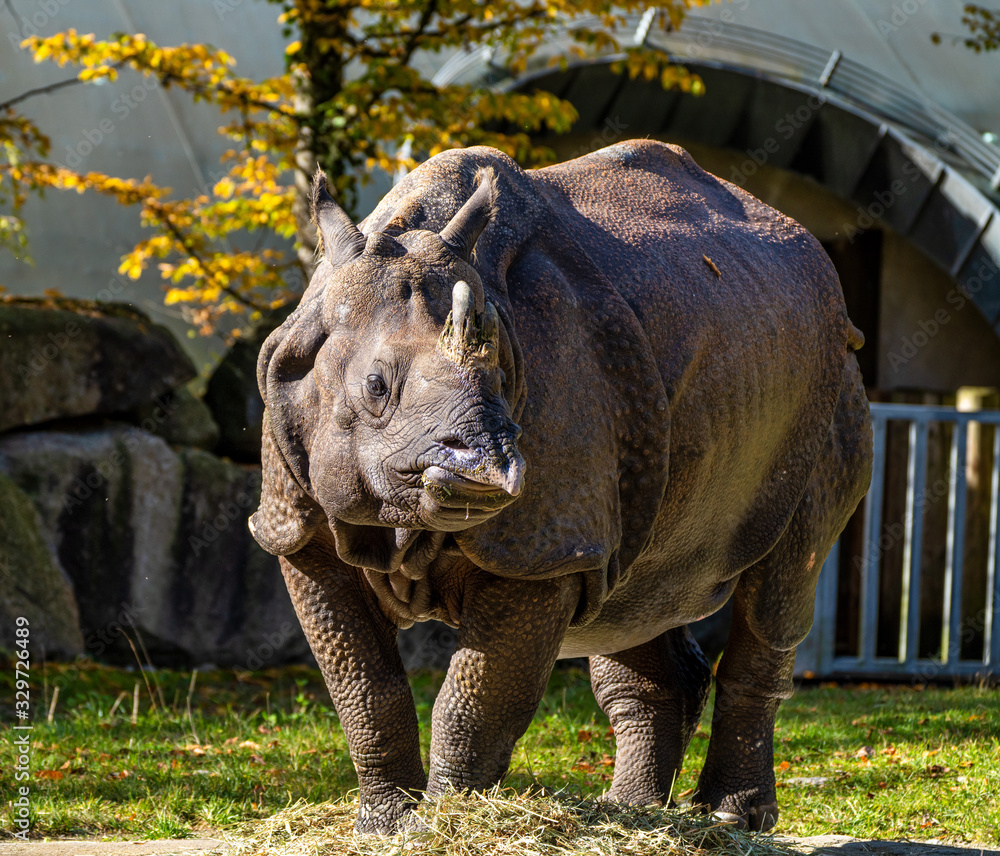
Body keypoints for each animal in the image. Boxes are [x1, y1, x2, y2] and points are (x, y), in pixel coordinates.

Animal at [250, 139, 872, 833]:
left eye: (502, 375)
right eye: (376, 388)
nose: (490, 471)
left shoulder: (542, 549)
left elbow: (474, 700)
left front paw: (450, 819)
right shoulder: (295, 525)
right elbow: (365, 689)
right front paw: (386, 825)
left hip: (832, 379)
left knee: (777, 588)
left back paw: (731, 819)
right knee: (635, 594)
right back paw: (631, 814)